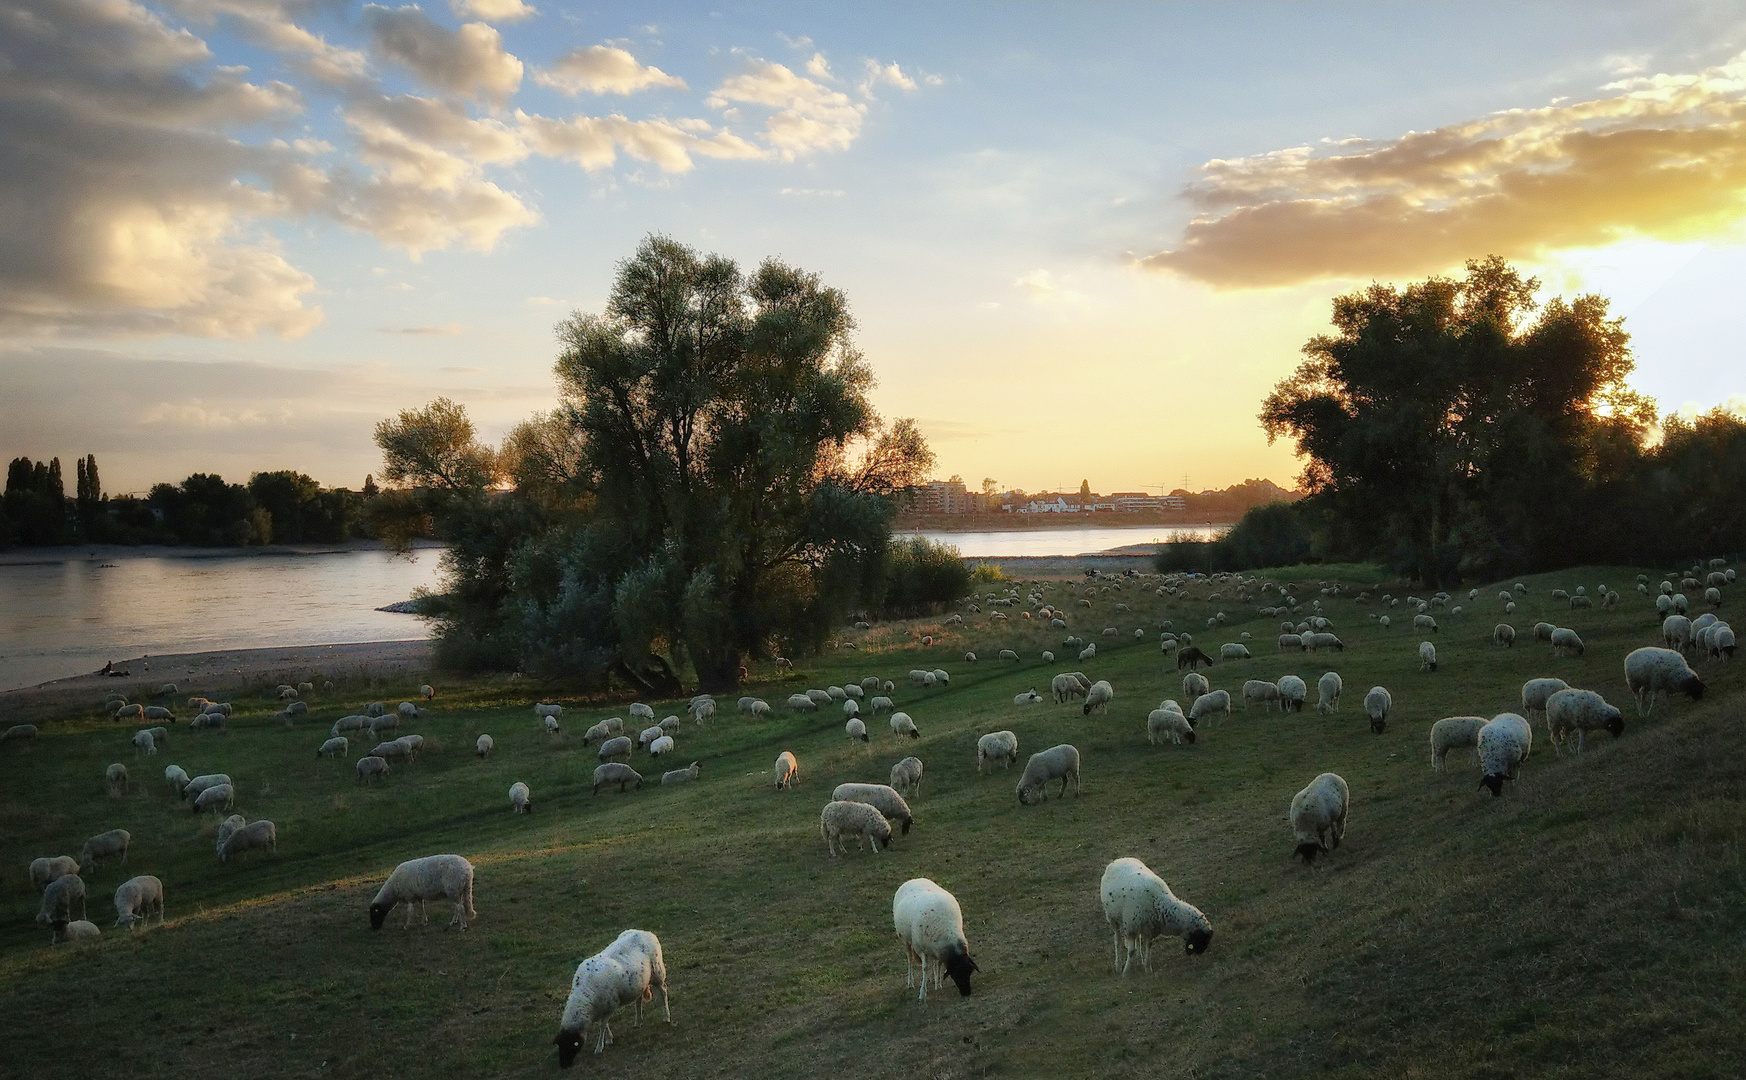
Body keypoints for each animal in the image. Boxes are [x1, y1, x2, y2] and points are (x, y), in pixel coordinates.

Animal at [555, 928, 670, 1067]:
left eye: (572, 1045)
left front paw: (600, 1047)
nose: (563, 1065)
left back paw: (666, 1017)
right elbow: (604, 1024)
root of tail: (646, 932)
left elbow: (602, 1025)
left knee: (663, 991)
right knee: (638, 1000)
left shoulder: (610, 1005)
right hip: (639, 982)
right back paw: (638, 1021)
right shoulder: (602, 1008)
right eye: (560, 1046)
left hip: (657, 973)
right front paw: (609, 1039)